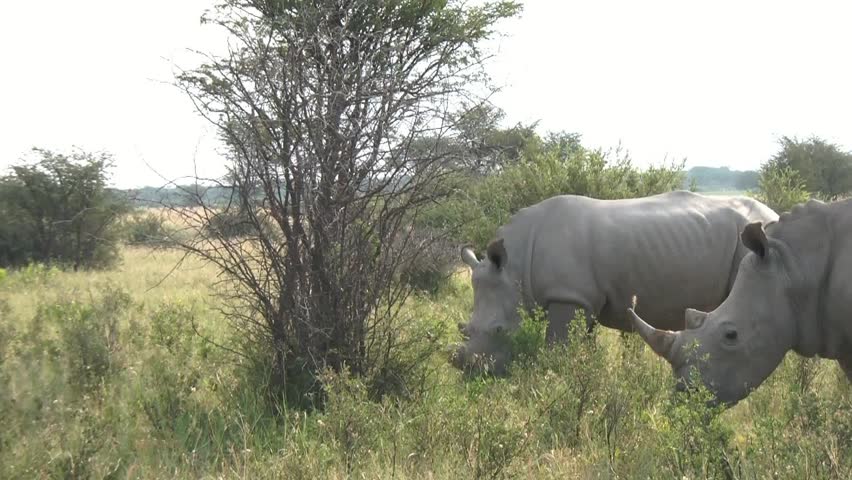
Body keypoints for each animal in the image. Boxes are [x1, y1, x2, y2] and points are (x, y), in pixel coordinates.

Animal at [452, 189, 780, 374]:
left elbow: (557, 347)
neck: (515, 268)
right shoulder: (582, 299)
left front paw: (552, 379)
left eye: (499, 330)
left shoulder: (567, 296)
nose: (469, 372)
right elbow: (581, 344)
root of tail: (774, 213)